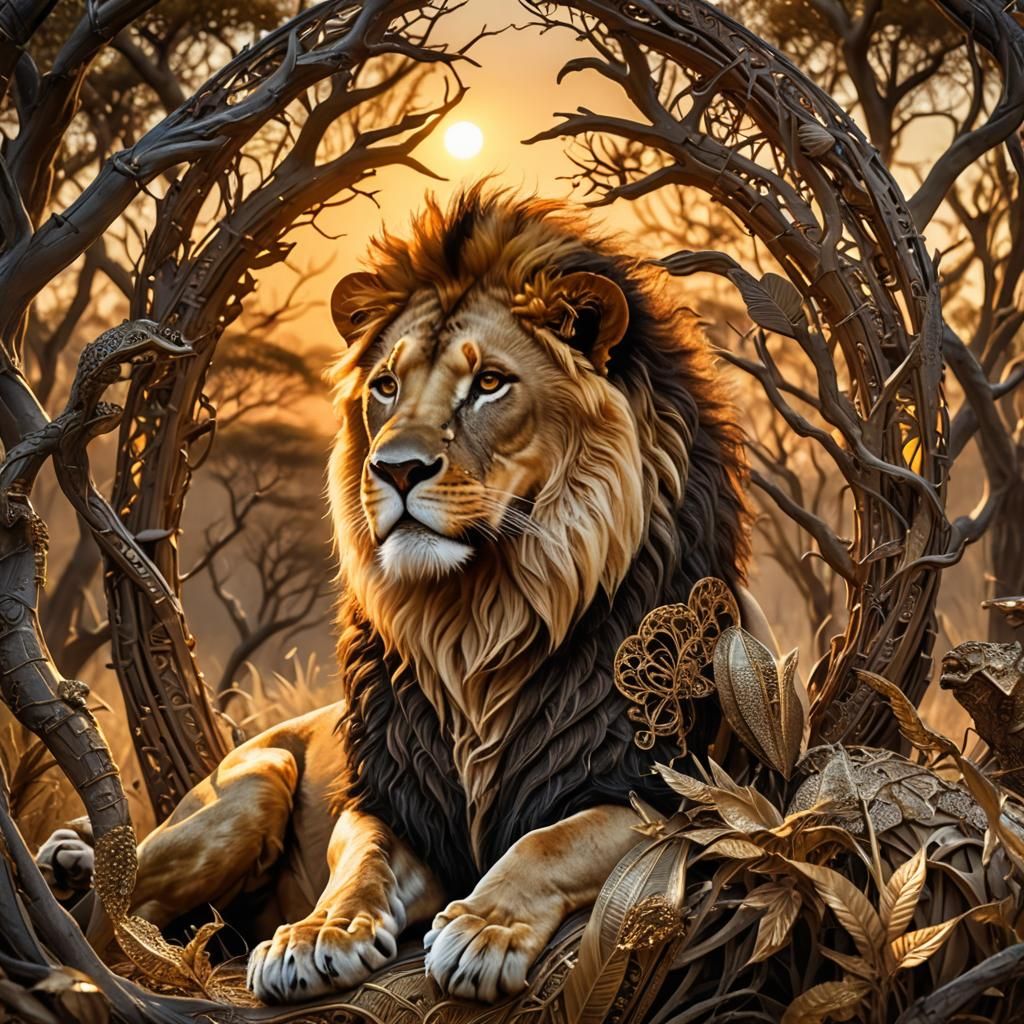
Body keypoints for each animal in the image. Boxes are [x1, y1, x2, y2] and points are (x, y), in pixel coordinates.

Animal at [98, 186, 768, 1005]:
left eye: (489, 383)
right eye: (385, 386)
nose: (395, 468)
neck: (481, 618)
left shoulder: (668, 793)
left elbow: (552, 839)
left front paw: (485, 928)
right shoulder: (394, 798)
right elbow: (361, 860)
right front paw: (315, 935)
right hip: (254, 784)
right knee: (114, 919)